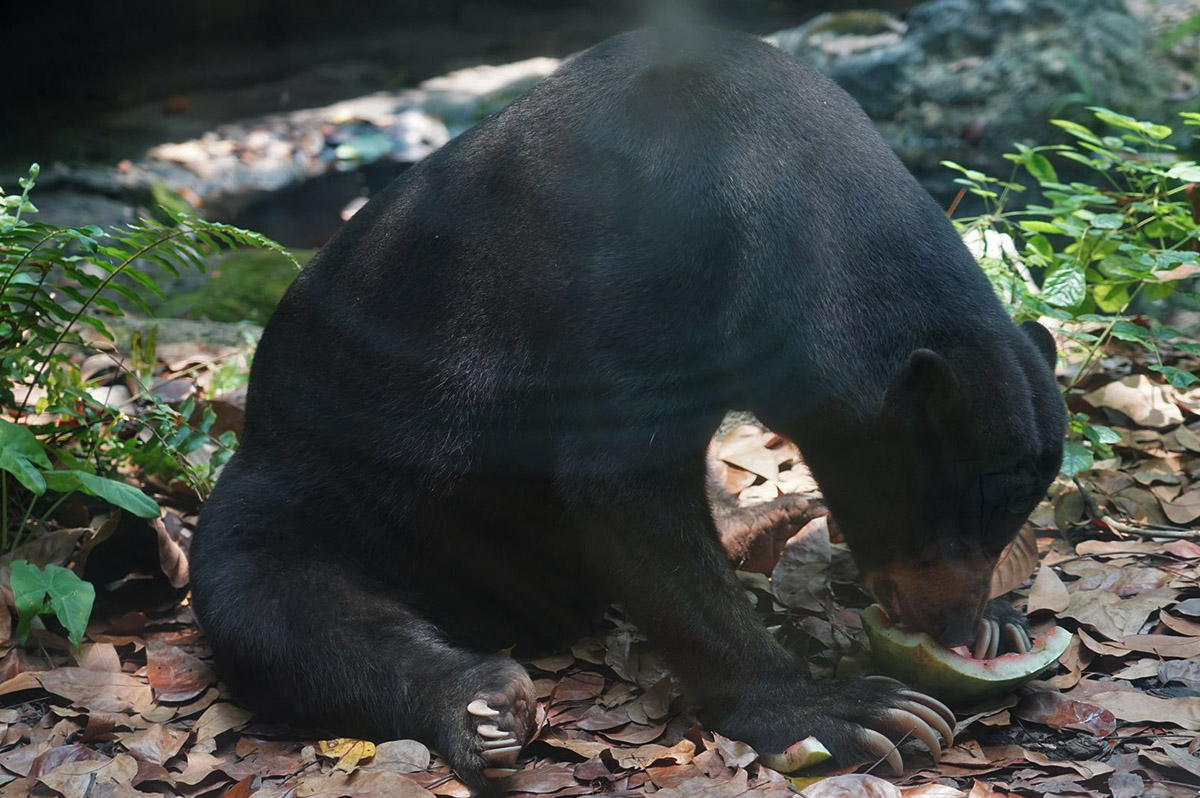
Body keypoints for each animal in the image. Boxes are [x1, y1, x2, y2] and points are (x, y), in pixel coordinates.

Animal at [192, 26, 1065, 792]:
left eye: (1001, 524)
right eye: (938, 525)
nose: (954, 630)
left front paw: (1003, 620)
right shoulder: (644, 270)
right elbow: (624, 487)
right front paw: (849, 710)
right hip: (299, 511)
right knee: (293, 620)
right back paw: (483, 708)